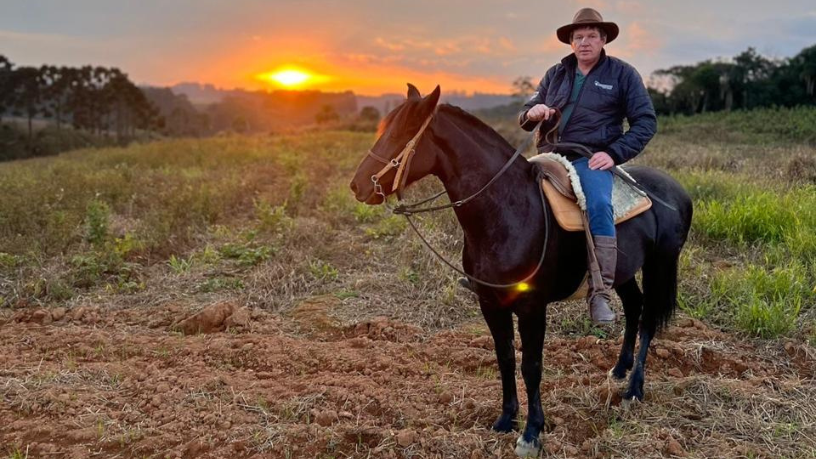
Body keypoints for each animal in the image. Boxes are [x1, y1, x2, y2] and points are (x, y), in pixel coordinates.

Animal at [349, 84, 693, 457]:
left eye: (402, 132)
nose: (358, 186)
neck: (508, 211)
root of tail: (678, 191)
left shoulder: (532, 307)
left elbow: (531, 366)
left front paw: (531, 433)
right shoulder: (490, 303)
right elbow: (505, 358)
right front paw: (505, 419)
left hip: (661, 265)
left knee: (648, 319)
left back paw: (633, 389)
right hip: (624, 271)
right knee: (633, 306)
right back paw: (618, 370)